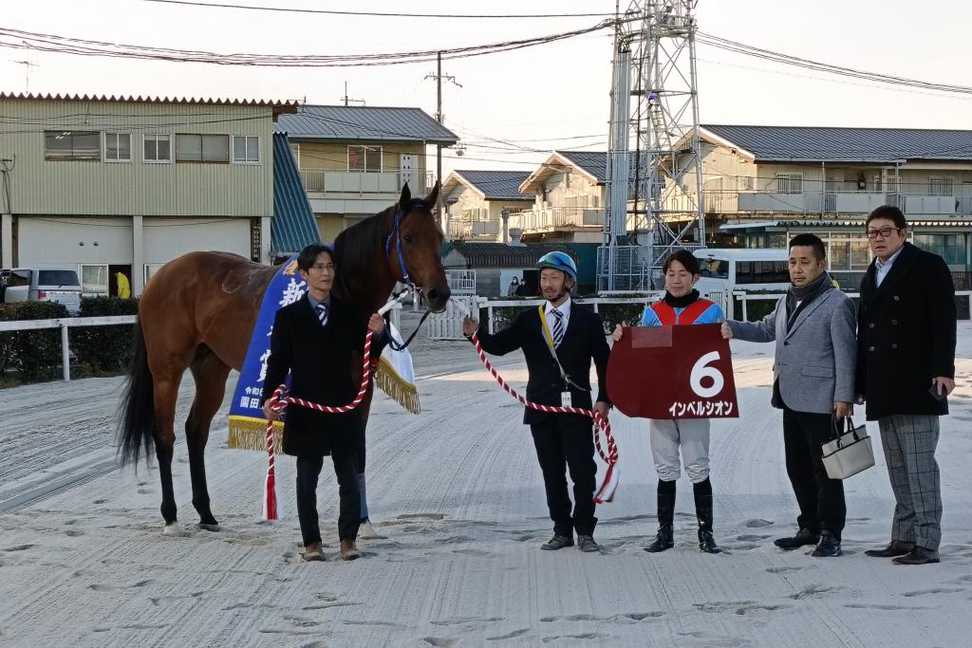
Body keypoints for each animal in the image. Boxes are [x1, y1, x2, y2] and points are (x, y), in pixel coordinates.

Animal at [117, 185, 448, 536]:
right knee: (165, 436)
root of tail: (160, 277)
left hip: (211, 370)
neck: (340, 294)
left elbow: (357, 450)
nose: (439, 294)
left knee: (196, 431)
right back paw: (171, 517)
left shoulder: (361, 389)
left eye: (439, 237)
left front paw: (363, 522)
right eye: (409, 237)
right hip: (166, 371)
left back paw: (206, 513)